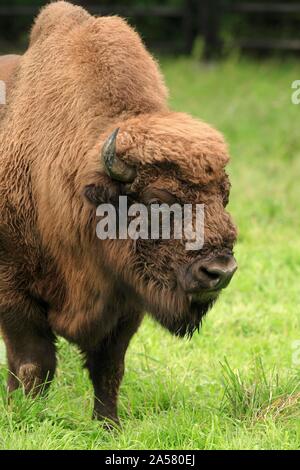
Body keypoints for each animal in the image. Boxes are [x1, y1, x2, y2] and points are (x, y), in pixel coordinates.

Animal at [0, 0, 237, 426]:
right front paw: (22, 416)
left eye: (223, 197)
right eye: (158, 200)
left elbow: (108, 367)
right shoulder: (13, 291)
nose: (219, 271)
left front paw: (108, 426)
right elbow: (33, 364)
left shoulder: (126, 303)